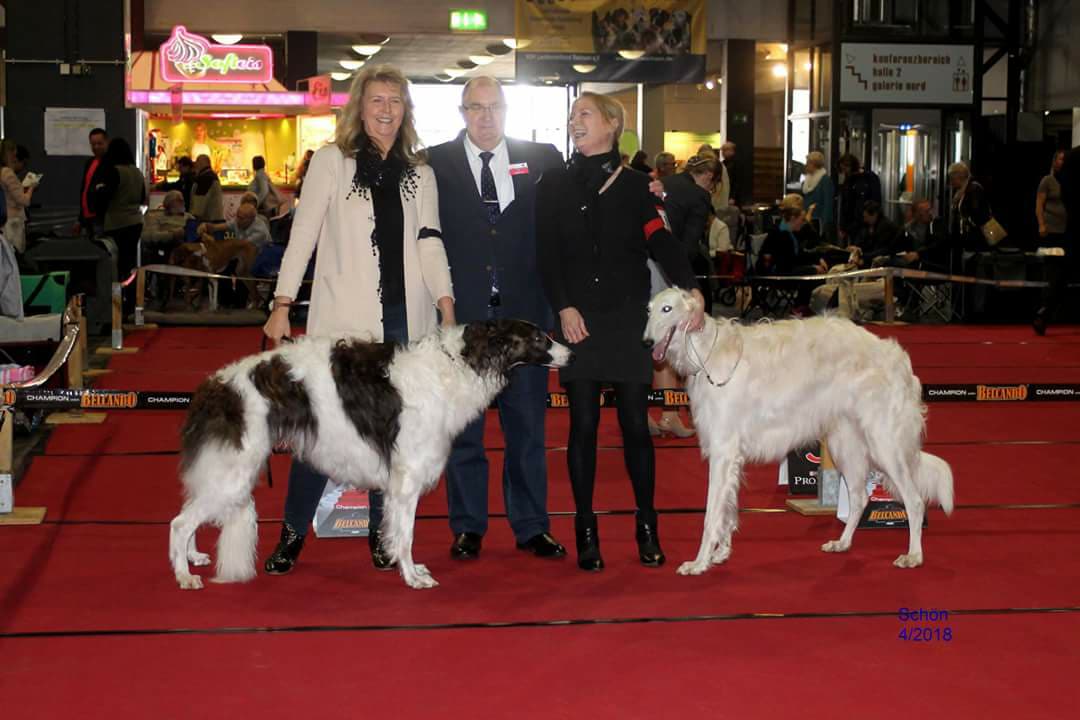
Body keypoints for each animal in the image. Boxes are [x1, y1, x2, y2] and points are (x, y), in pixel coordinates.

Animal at [168, 319, 573, 591]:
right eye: (541, 337)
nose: (570, 352)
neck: (457, 364)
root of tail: (215, 385)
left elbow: (394, 531)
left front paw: (404, 567)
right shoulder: (406, 479)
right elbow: (406, 536)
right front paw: (413, 577)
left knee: (189, 513)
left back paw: (193, 557)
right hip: (235, 471)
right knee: (178, 522)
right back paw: (185, 575)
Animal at [643, 287, 953, 576]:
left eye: (667, 309)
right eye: (649, 310)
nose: (646, 343)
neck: (707, 353)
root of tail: (898, 359)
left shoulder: (723, 452)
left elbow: (711, 515)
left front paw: (699, 563)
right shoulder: (730, 458)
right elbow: (728, 510)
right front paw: (721, 554)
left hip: (884, 444)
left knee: (914, 501)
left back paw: (913, 556)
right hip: (845, 446)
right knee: (859, 498)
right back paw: (842, 543)